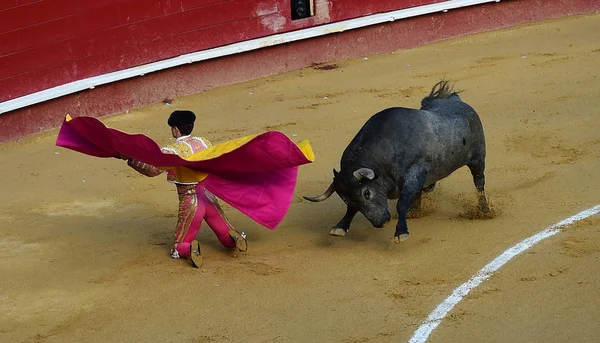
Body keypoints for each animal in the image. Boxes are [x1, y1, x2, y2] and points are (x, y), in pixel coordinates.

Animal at [304, 80, 488, 243]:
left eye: (367, 193)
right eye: (344, 198)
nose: (381, 222)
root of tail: (455, 100)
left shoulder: (413, 175)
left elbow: (402, 203)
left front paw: (401, 233)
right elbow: (352, 209)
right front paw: (340, 227)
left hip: (478, 158)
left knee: (479, 183)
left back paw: (485, 210)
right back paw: (416, 211)